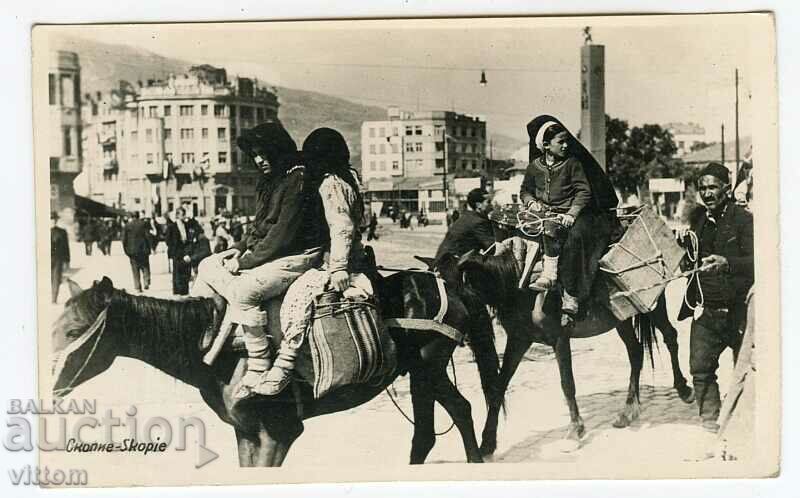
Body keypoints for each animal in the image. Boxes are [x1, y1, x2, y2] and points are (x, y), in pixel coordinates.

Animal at [50, 276, 500, 466]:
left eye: (73, 331)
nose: (52, 387)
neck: (211, 347)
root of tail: (453, 285)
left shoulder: (279, 431)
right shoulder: (245, 431)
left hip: (428, 367)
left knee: (458, 410)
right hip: (420, 372)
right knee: (429, 427)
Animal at [460, 247, 696, 458]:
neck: (522, 285)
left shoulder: (559, 339)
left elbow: (567, 384)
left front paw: (575, 431)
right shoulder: (519, 340)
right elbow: (498, 387)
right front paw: (487, 443)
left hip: (651, 305)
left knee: (670, 337)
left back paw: (684, 389)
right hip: (621, 317)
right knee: (636, 352)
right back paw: (628, 410)